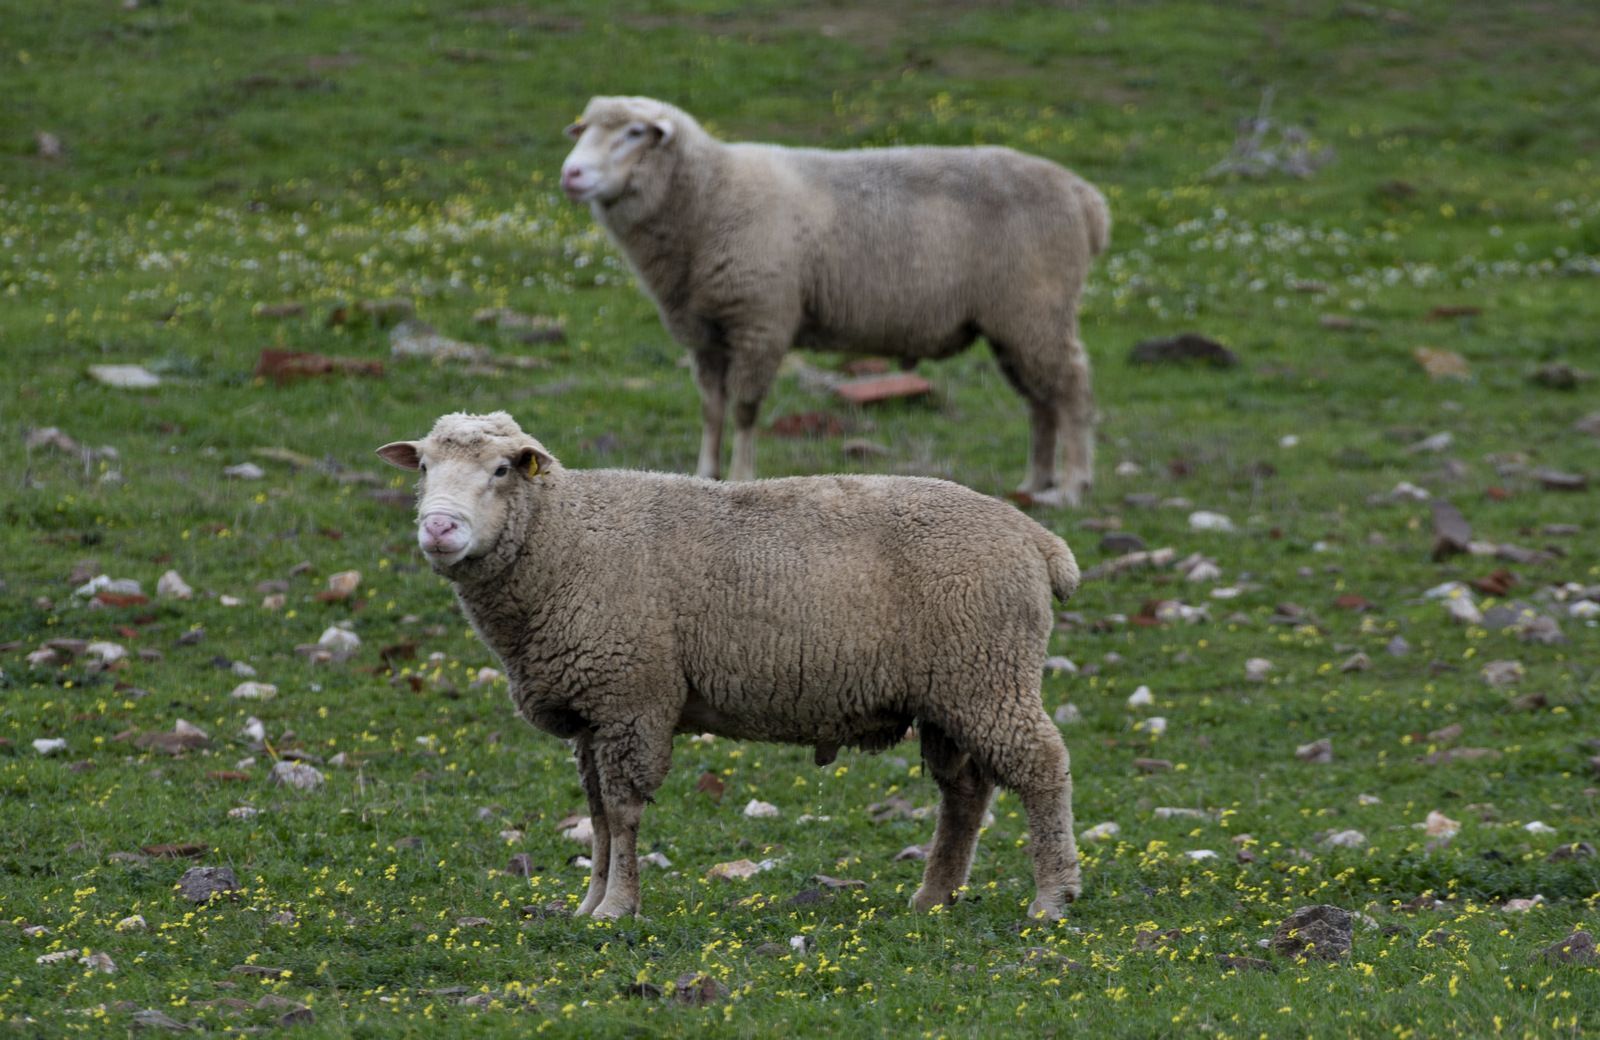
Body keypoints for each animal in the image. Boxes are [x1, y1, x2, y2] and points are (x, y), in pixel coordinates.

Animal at [377, 410, 1083, 921]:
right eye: (424, 468)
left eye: (502, 469)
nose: (439, 529)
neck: (565, 538)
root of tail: (1036, 539)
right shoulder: (592, 711)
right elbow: (597, 815)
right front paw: (588, 904)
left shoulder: (633, 697)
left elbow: (623, 811)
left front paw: (618, 908)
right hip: (953, 689)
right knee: (964, 792)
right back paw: (933, 898)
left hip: (988, 673)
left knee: (1042, 766)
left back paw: (1051, 899)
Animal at [559, 95, 1110, 507]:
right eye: (581, 129)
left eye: (635, 133)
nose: (572, 174)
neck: (709, 196)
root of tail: (1085, 197)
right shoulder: (705, 332)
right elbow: (711, 410)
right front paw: (705, 473)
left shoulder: (761, 319)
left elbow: (744, 409)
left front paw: (739, 476)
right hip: (1013, 323)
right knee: (1041, 401)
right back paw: (1034, 483)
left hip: (1036, 307)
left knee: (1073, 389)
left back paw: (1072, 486)